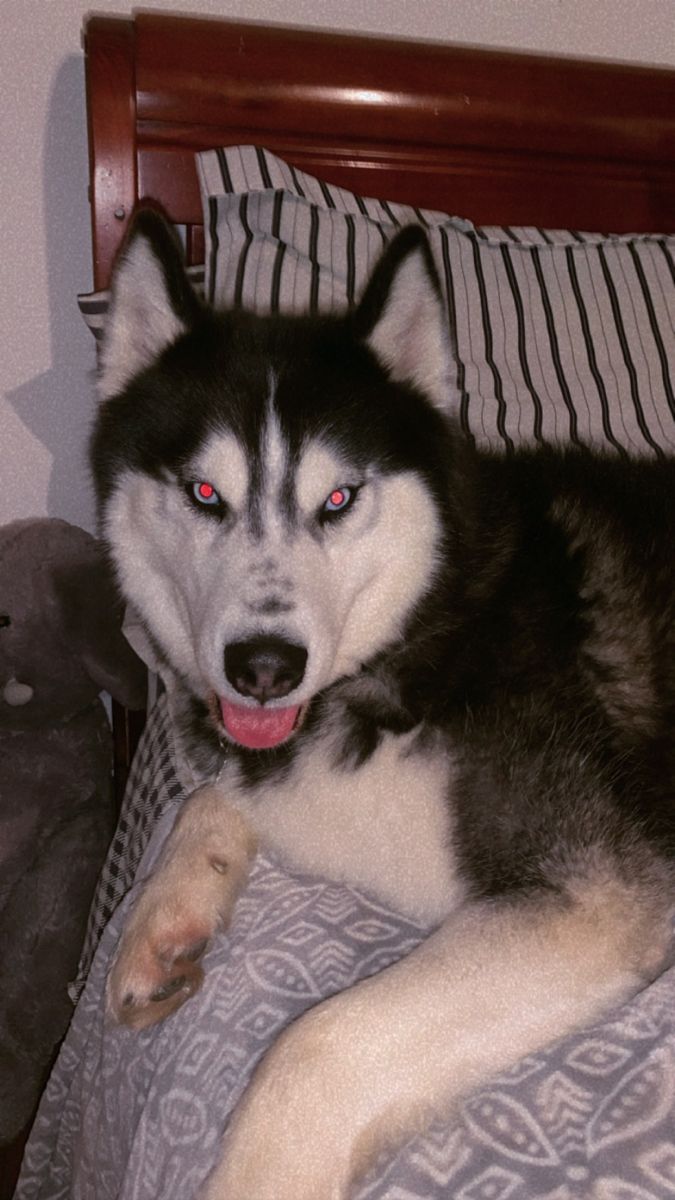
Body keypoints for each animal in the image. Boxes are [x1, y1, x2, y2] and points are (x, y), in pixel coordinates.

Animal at [90, 211, 672, 1195]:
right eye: (204, 493)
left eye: (338, 498)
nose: (263, 667)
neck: (421, 628)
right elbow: (214, 795)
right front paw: (165, 915)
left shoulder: (598, 895)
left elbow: (314, 1044)